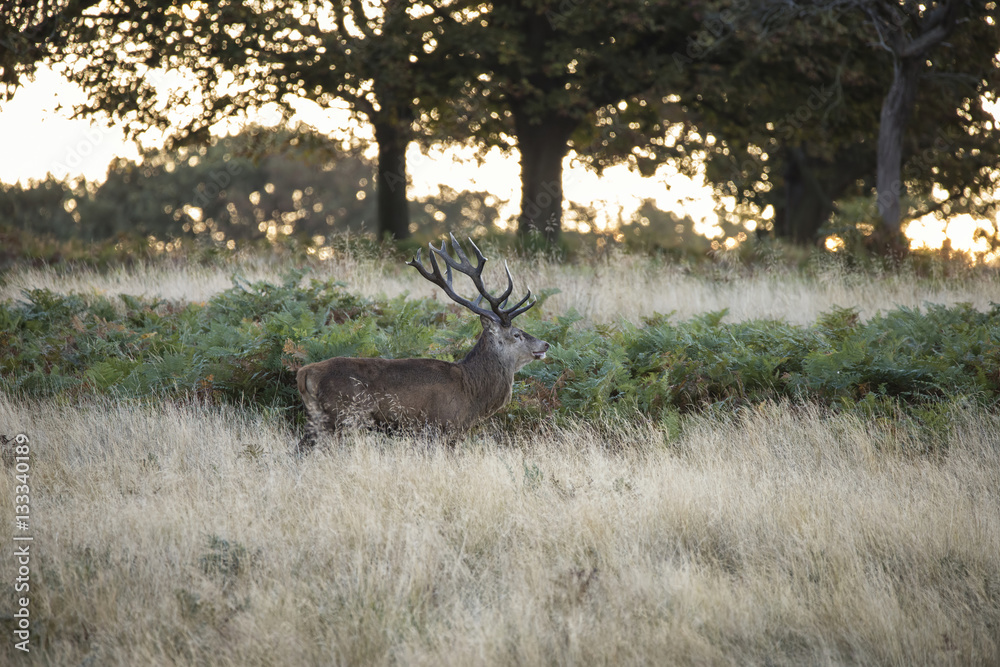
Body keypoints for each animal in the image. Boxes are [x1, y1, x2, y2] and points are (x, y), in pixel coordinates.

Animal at [295, 234, 550, 453]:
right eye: (516, 334)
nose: (545, 344)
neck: (471, 392)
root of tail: (305, 373)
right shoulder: (440, 426)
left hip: (319, 417)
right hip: (341, 415)